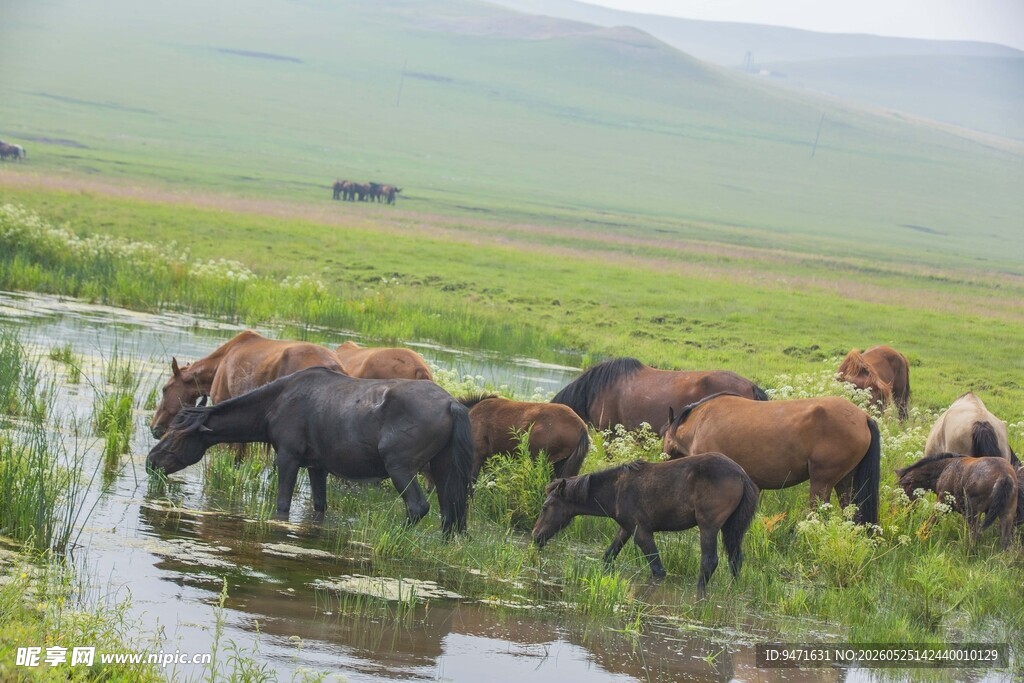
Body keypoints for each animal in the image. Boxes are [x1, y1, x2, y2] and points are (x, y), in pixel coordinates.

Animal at [147, 367, 473, 535]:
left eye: (176, 436)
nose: (151, 461)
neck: (274, 404)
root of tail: (452, 403)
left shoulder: (288, 458)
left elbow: (282, 505)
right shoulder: (318, 467)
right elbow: (319, 507)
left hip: (400, 468)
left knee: (418, 508)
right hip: (443, 469)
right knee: (451, 514)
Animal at [532, 453, 758, 597]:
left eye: (545, 506)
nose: (535, 536)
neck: (616, 490)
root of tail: (742, 474)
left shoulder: (642, 533)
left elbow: (657, 570)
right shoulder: (625, 529)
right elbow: (608, 556)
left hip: (708, 527)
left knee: (709, 562)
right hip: (730, 528)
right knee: (735, 560)